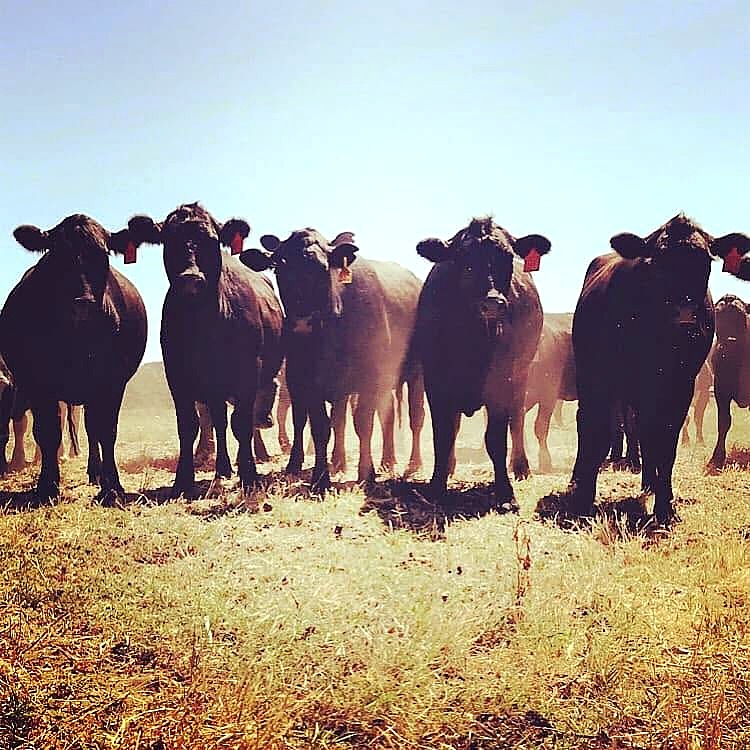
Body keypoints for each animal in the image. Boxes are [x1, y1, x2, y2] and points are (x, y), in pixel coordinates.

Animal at [1, 214, 147, 503]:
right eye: (57, 257)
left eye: (103, 255)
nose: (83, 302)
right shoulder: (38, 383)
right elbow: (47, 433)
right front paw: (47, 486)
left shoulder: (113, 382)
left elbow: (106, 432)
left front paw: (113, 487)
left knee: (93, 430)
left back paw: (96, 473)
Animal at [123, 203, 283, 497]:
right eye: (169, 240)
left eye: (211, 240)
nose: (191, 279)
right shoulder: (176, 373)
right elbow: (188, 425)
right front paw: (183, 480)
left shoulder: (247, 371)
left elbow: (241, 424)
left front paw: (249, 475)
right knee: (218, 421)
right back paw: (222, 468)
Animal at [240, 229, 424, 491]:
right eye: (279, 268)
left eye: (323, 268)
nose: (302, 321)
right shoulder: (308, 383)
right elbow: (321, 427)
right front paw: (320, 478)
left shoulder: (369, 380)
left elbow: (363, 424)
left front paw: (366, 474)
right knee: (381, 415)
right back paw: (383, 460)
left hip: (416, 373)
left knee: (416, 417)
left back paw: (414, 463)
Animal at [413, 216, 551, 510]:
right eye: (465, 261)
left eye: (508, 259)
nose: (493, 303)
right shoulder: (436, 382)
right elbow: (444, 436)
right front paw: (437, 486)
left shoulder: (501, 382)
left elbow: (496, 439)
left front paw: (505, 494)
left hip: (521, 375)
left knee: (517, 420)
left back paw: (521, 467)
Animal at [564, 214, 749, 525]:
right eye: (657, 264)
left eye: (706, 262)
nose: (685, 318)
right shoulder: (602, 378)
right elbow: (596, 432)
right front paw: (582, 500)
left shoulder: (680, 388)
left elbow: (666, 442)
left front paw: (665, 506)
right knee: (590, 424)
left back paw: (650, 483)